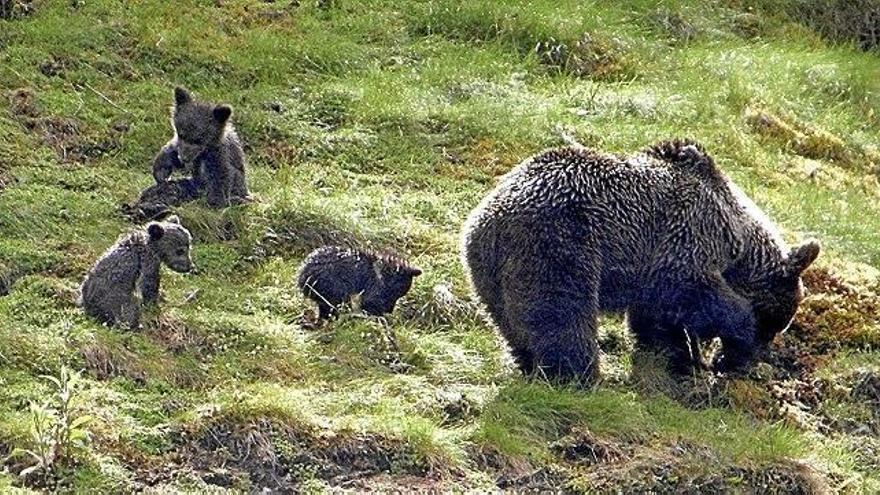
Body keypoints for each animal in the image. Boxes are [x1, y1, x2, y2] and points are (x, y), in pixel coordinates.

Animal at [461, 139, 819, 384]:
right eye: (772, 324)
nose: (743, 363)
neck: (738, 236)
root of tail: (492, 218)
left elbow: (657, 315)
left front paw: (672, 354)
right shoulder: (687, 233)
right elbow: (689, 289)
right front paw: (730, 334)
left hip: (487, 272)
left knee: (511, 321)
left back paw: (528, 361)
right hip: (560, 245)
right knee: (562, 313)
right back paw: (577, 375)